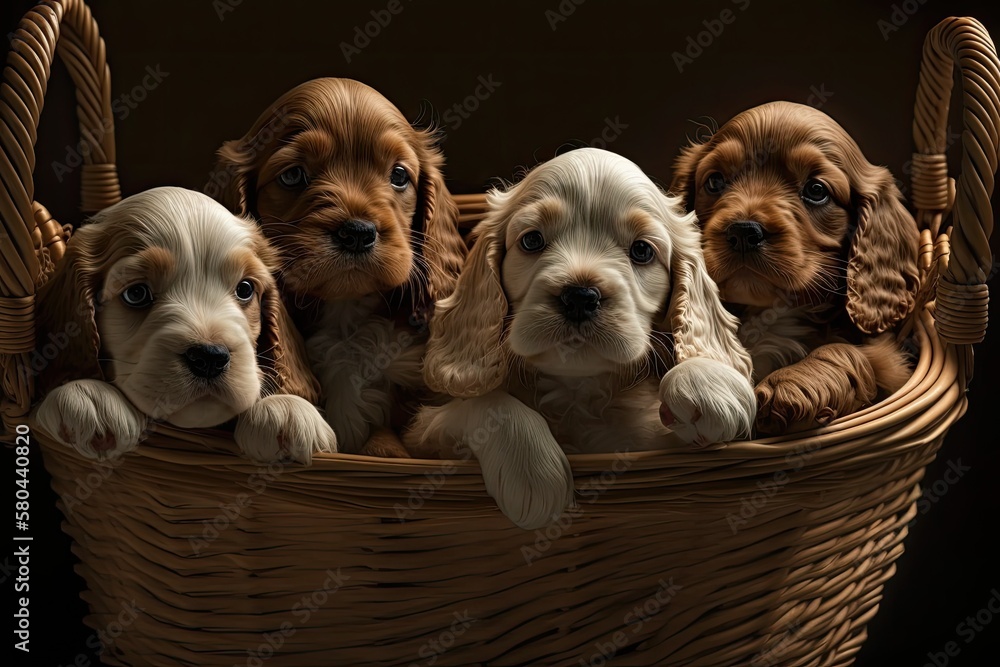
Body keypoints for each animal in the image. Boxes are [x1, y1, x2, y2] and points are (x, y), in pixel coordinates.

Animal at [402, 149, 752, 528]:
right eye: (532, 240)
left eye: (642, 251)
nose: (580, 297)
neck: (575, 390)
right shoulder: (419, 437)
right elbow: (484, 403)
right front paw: (533, 472)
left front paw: (703, 380)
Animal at [672, 99, 920, 434]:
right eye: (714, 181)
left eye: (816, 190)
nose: (744, 231)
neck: (769, 315)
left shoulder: (890, 364)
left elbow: (846, 351)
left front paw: (789, 384)